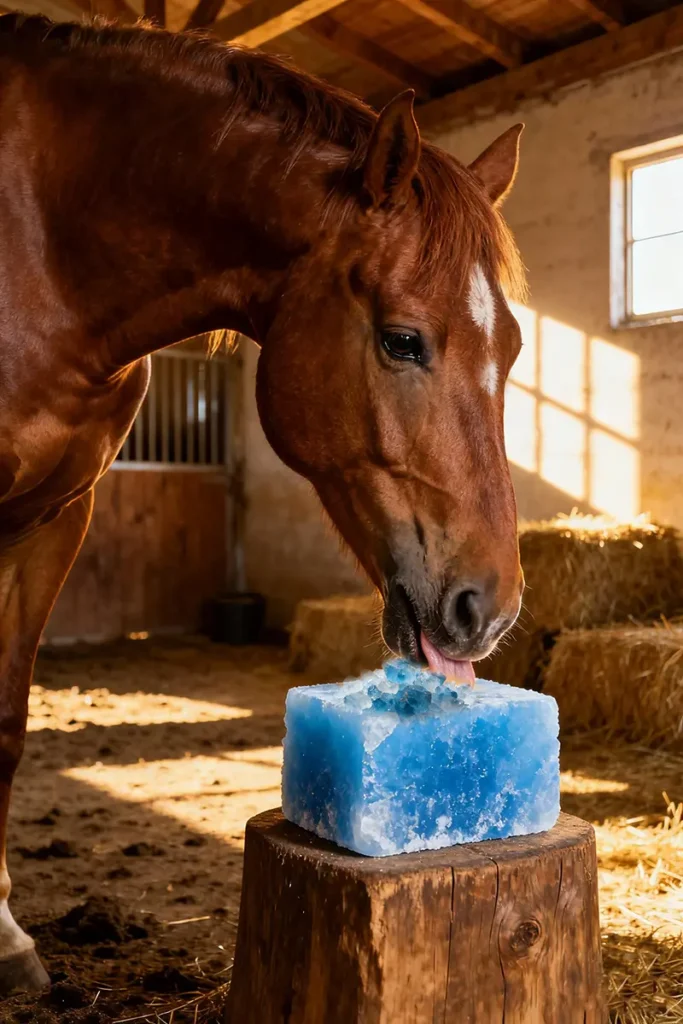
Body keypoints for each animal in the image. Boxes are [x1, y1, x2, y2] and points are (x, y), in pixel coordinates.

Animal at [0, 13, 526, 992]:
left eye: (509, 349)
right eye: (402, 340)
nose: (492, 607)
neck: (44, 235)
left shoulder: (53, 518)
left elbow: (7, 727)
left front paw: (5, 937)